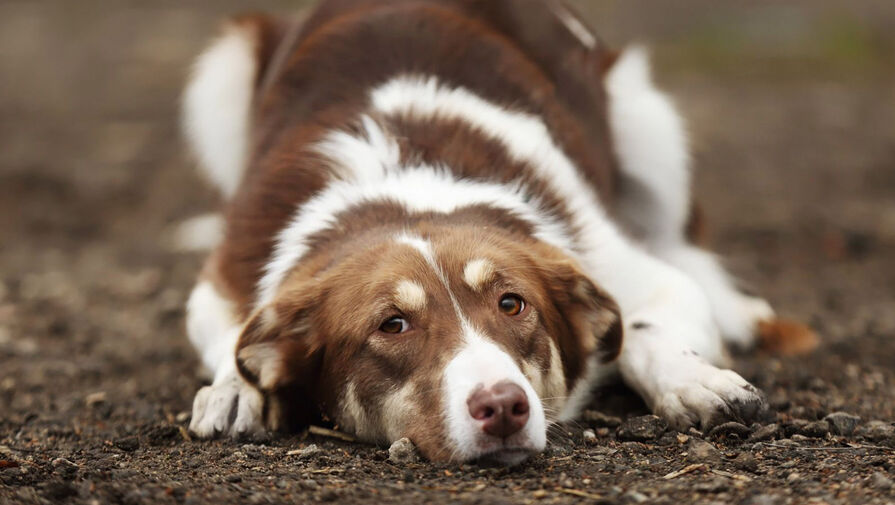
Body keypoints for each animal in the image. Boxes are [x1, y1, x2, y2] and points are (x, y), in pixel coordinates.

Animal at [178, 0, 796, 464]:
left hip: (647, 121)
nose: (502, 406)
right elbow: (232, 337)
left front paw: (695, 380)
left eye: (512, 303)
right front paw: (235, 389)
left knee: (679, 237)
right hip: (223, 71)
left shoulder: (618, 262)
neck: (411, 187)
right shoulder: (223, 280)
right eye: (392, 325)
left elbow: (647, 327)